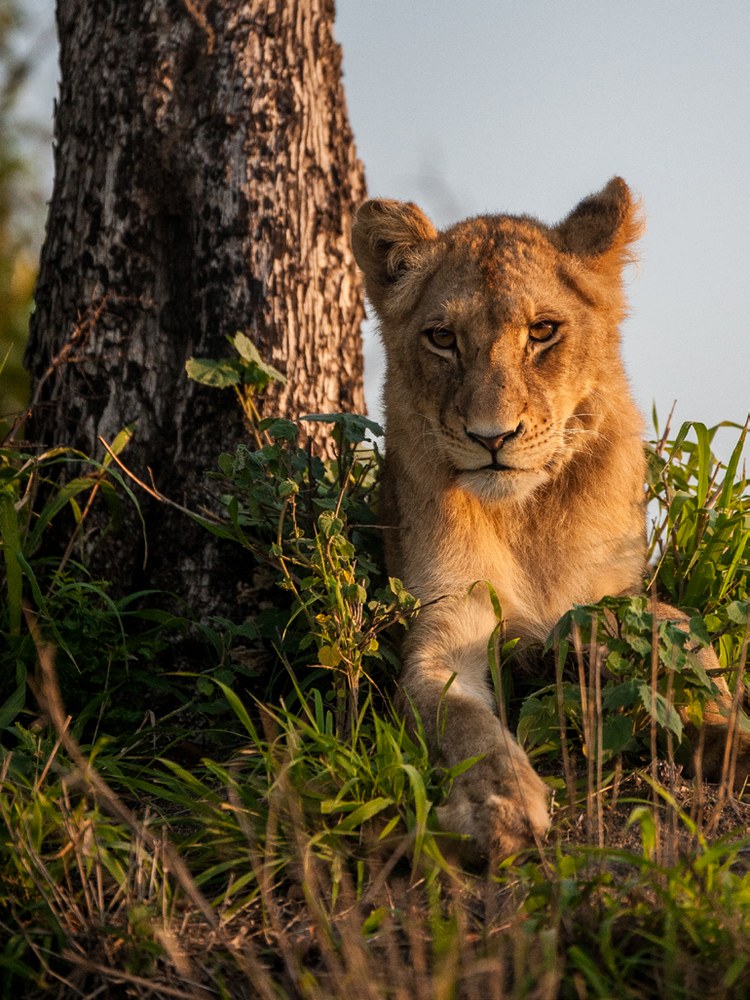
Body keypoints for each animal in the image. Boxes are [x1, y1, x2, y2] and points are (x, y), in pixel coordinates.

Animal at [352, 178, 750, 859]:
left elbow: (679, 637)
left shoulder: (617, 593)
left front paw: (731, 746)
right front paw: (499, 803)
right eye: (442, 338)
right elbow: (461, 717)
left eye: (542, 331)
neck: (526, 517)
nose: (492, 437)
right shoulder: (444, 625)